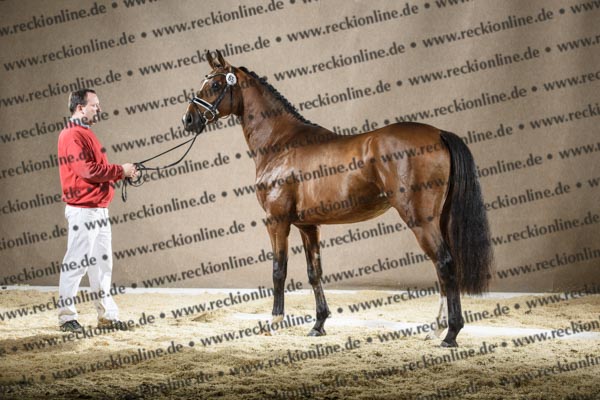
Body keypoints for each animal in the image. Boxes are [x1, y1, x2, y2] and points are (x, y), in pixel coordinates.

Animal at [182, 50, 493, 347]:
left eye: (215, 84)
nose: (188, 120)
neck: (280, 143)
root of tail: (439, 134)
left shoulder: (277, 220)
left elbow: (279, 270)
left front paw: (273, 321)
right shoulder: (308, 226)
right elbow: (314, 272)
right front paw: (318, 325)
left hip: (420, 219)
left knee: (444, 263)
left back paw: (450, 334)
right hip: (438, 219)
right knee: (443, 267)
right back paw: (435, 329)